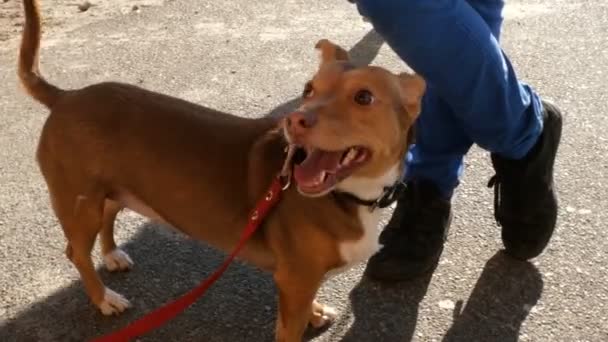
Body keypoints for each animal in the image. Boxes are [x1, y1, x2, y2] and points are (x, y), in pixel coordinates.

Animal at [20, 1, 428, 340]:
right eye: (308, 89)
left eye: (364, 97)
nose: (294, 120)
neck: (351, 198)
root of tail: (67, 97)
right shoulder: (295, 281)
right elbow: (290, 328)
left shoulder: (300, 282)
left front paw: (314, 313)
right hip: (79, 203)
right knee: (76, 252)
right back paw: (104, 298)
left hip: (112, 190)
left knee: (108, 216)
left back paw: (111, 255)